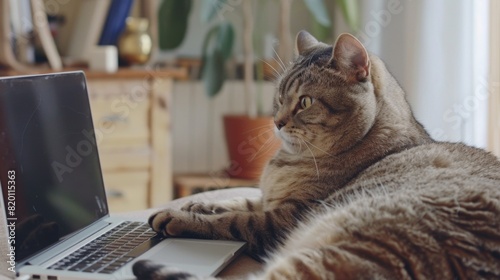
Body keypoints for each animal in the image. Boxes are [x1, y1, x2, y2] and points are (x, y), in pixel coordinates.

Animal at [133, 31, 500, 278]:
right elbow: (241, 200)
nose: (276, 122)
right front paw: (198, 204)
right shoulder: (271, 199)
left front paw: (178, 216)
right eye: (279, 98)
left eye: (305, 102)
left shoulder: (283, 221)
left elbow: (234, 220)